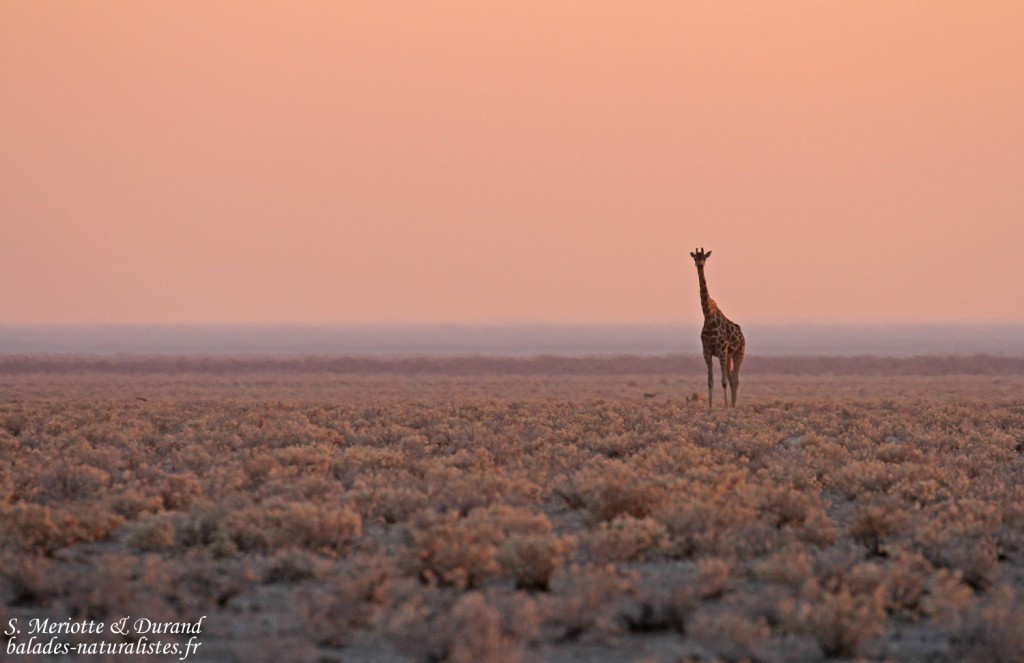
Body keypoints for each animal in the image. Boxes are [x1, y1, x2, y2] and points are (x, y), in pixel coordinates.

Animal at [690, 248, 745, 408]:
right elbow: (710, 381)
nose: (700, 265)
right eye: (695, 258)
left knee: (735, 379)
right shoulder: (707, 351)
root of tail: (742, 335)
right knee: (732, 378)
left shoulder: (721, 349)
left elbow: (723, 382)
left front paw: (725, 408)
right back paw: (732, 406)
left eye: (705, 258)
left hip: (738, 353)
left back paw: (732, 407)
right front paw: (709, 409)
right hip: (729, 355)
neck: (708, 317)